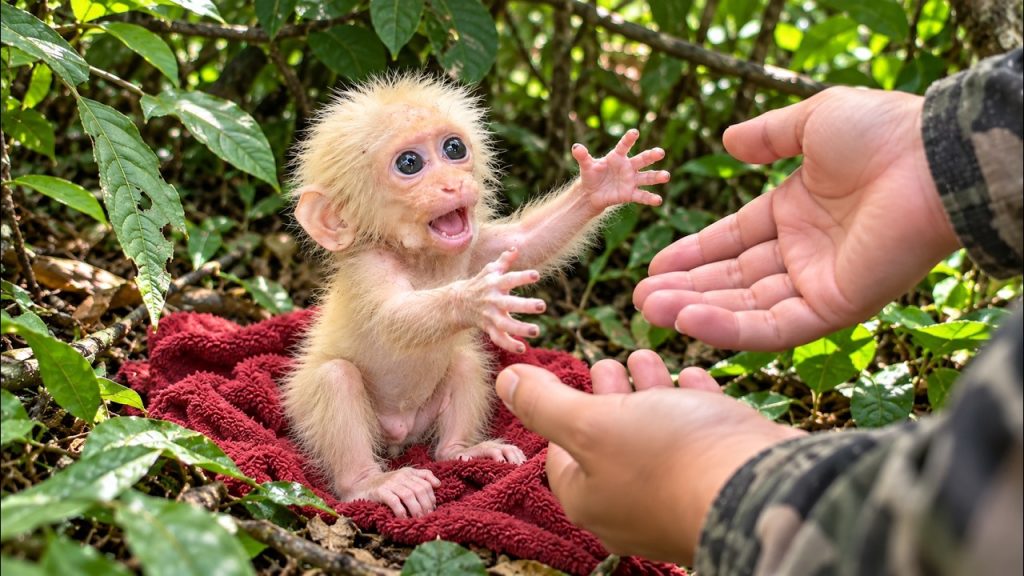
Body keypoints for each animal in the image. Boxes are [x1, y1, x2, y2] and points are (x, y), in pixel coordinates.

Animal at [283, 73, 669, 518]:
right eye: (409, 163)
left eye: (454, 149)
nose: (453, 184)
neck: (422, 259)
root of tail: (400, 438)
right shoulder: (369, 264)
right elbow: (389, 317)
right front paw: (475, 299)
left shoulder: (474, 248)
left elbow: (524, 243)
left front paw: (603, 183)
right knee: (335, 378)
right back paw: (370, 483)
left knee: (465, 364)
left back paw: (460, 452)